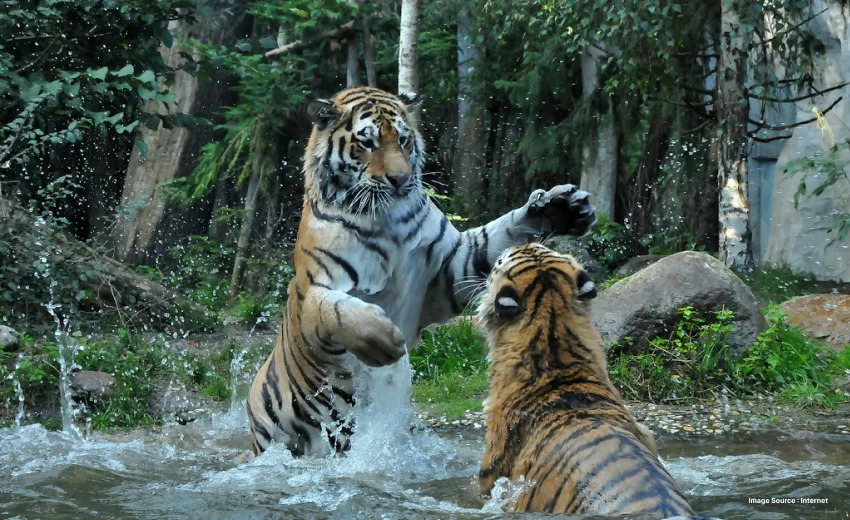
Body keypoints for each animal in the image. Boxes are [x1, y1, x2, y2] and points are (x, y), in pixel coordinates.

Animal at [246, 87, 597, 457]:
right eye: (367, 143)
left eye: (403, 140)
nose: (400, 180)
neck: (386, 224)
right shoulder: (312, 290)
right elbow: (338, 310)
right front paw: (384, 342)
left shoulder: (448, 272)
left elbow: (498, 235)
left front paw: (561, 209)